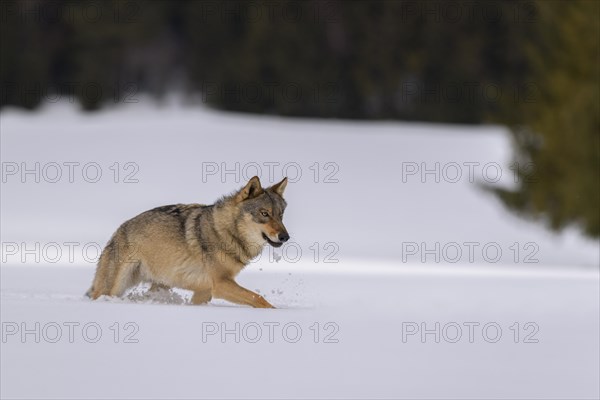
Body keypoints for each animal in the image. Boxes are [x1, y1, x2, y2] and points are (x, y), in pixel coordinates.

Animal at [85, 176, 290, 310]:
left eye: (280, 215)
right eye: (264, 213)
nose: (285, 237)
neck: (226, 232)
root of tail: (118, 231)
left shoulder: (205, 291)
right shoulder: (221, 284)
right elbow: (258, 298)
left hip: (160, 285)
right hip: (115, 287)